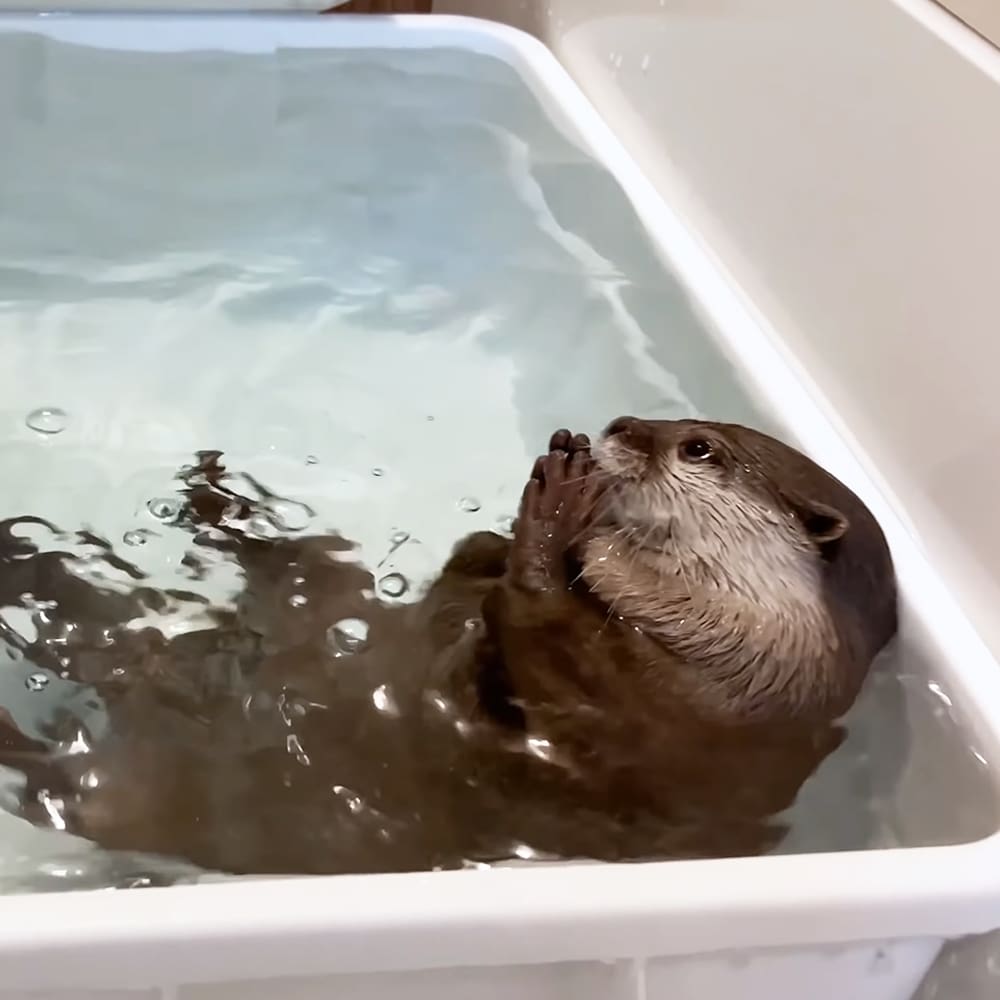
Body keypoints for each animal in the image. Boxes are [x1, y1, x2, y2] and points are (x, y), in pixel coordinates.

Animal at [0, 417, 896, 874]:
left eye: (697, 447)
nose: (616, 424)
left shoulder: (673, 728)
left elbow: (546, 657)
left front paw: (557, 510)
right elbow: (471, 576)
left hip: (143, 787)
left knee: (64, 775)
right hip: (321, 580)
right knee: (286, 559)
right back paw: (206, 502)